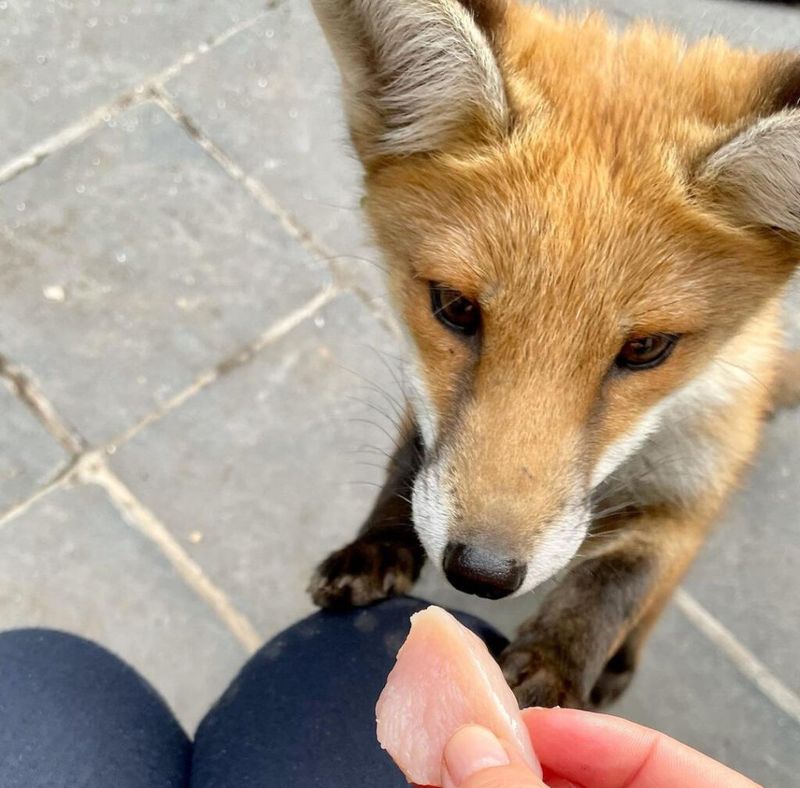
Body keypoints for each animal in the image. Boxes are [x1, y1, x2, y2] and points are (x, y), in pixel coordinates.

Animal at [306, 0, 800, 710]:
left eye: (646, 348)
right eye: (455, 307)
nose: (480, 574)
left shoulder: (690, 487)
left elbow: (618, 582)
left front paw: (557, 666)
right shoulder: (422, 388)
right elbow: (412, 462)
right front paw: (377, 544)